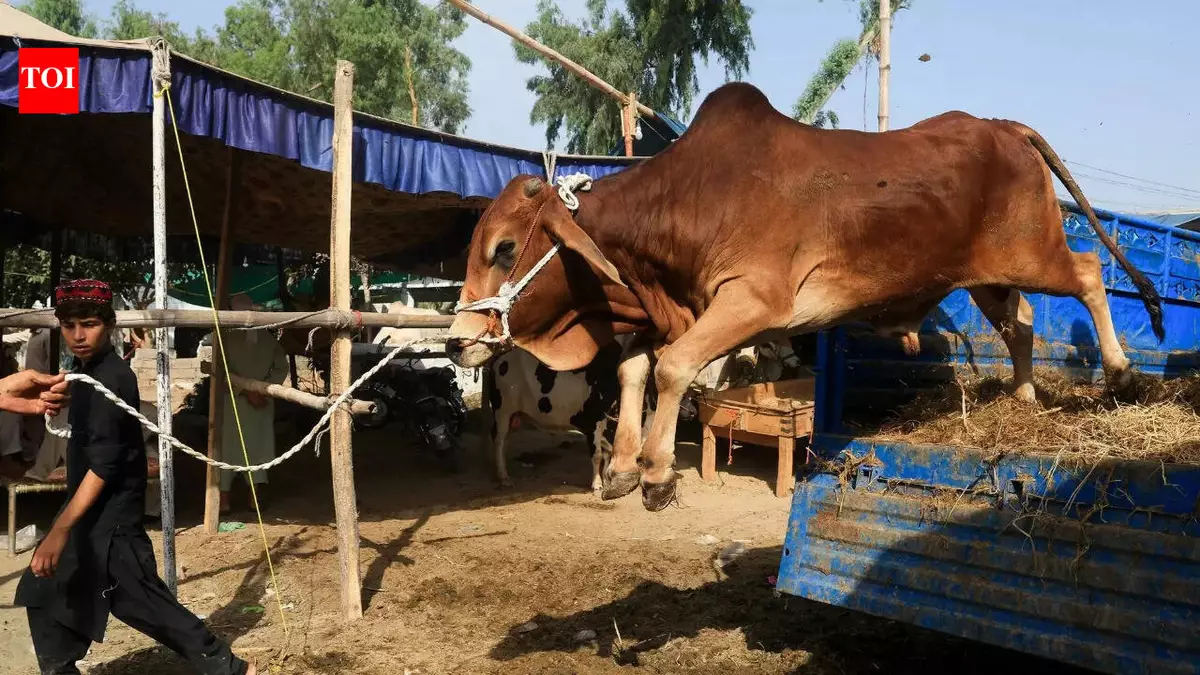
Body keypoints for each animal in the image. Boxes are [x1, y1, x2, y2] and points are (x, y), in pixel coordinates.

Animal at [444, 82, 1165, 512]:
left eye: (504, 248)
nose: (455, 342)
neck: (688, 200)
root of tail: (1004, 125)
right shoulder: (674, 311)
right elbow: (633, 369)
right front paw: (624, 466)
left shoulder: (751, 302)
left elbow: (672, 368)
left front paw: (656, 474)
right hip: (988, 277)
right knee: (1020, 322)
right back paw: (1023, 396)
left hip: (1035, 253)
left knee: (1089, 272)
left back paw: (1121, 370)